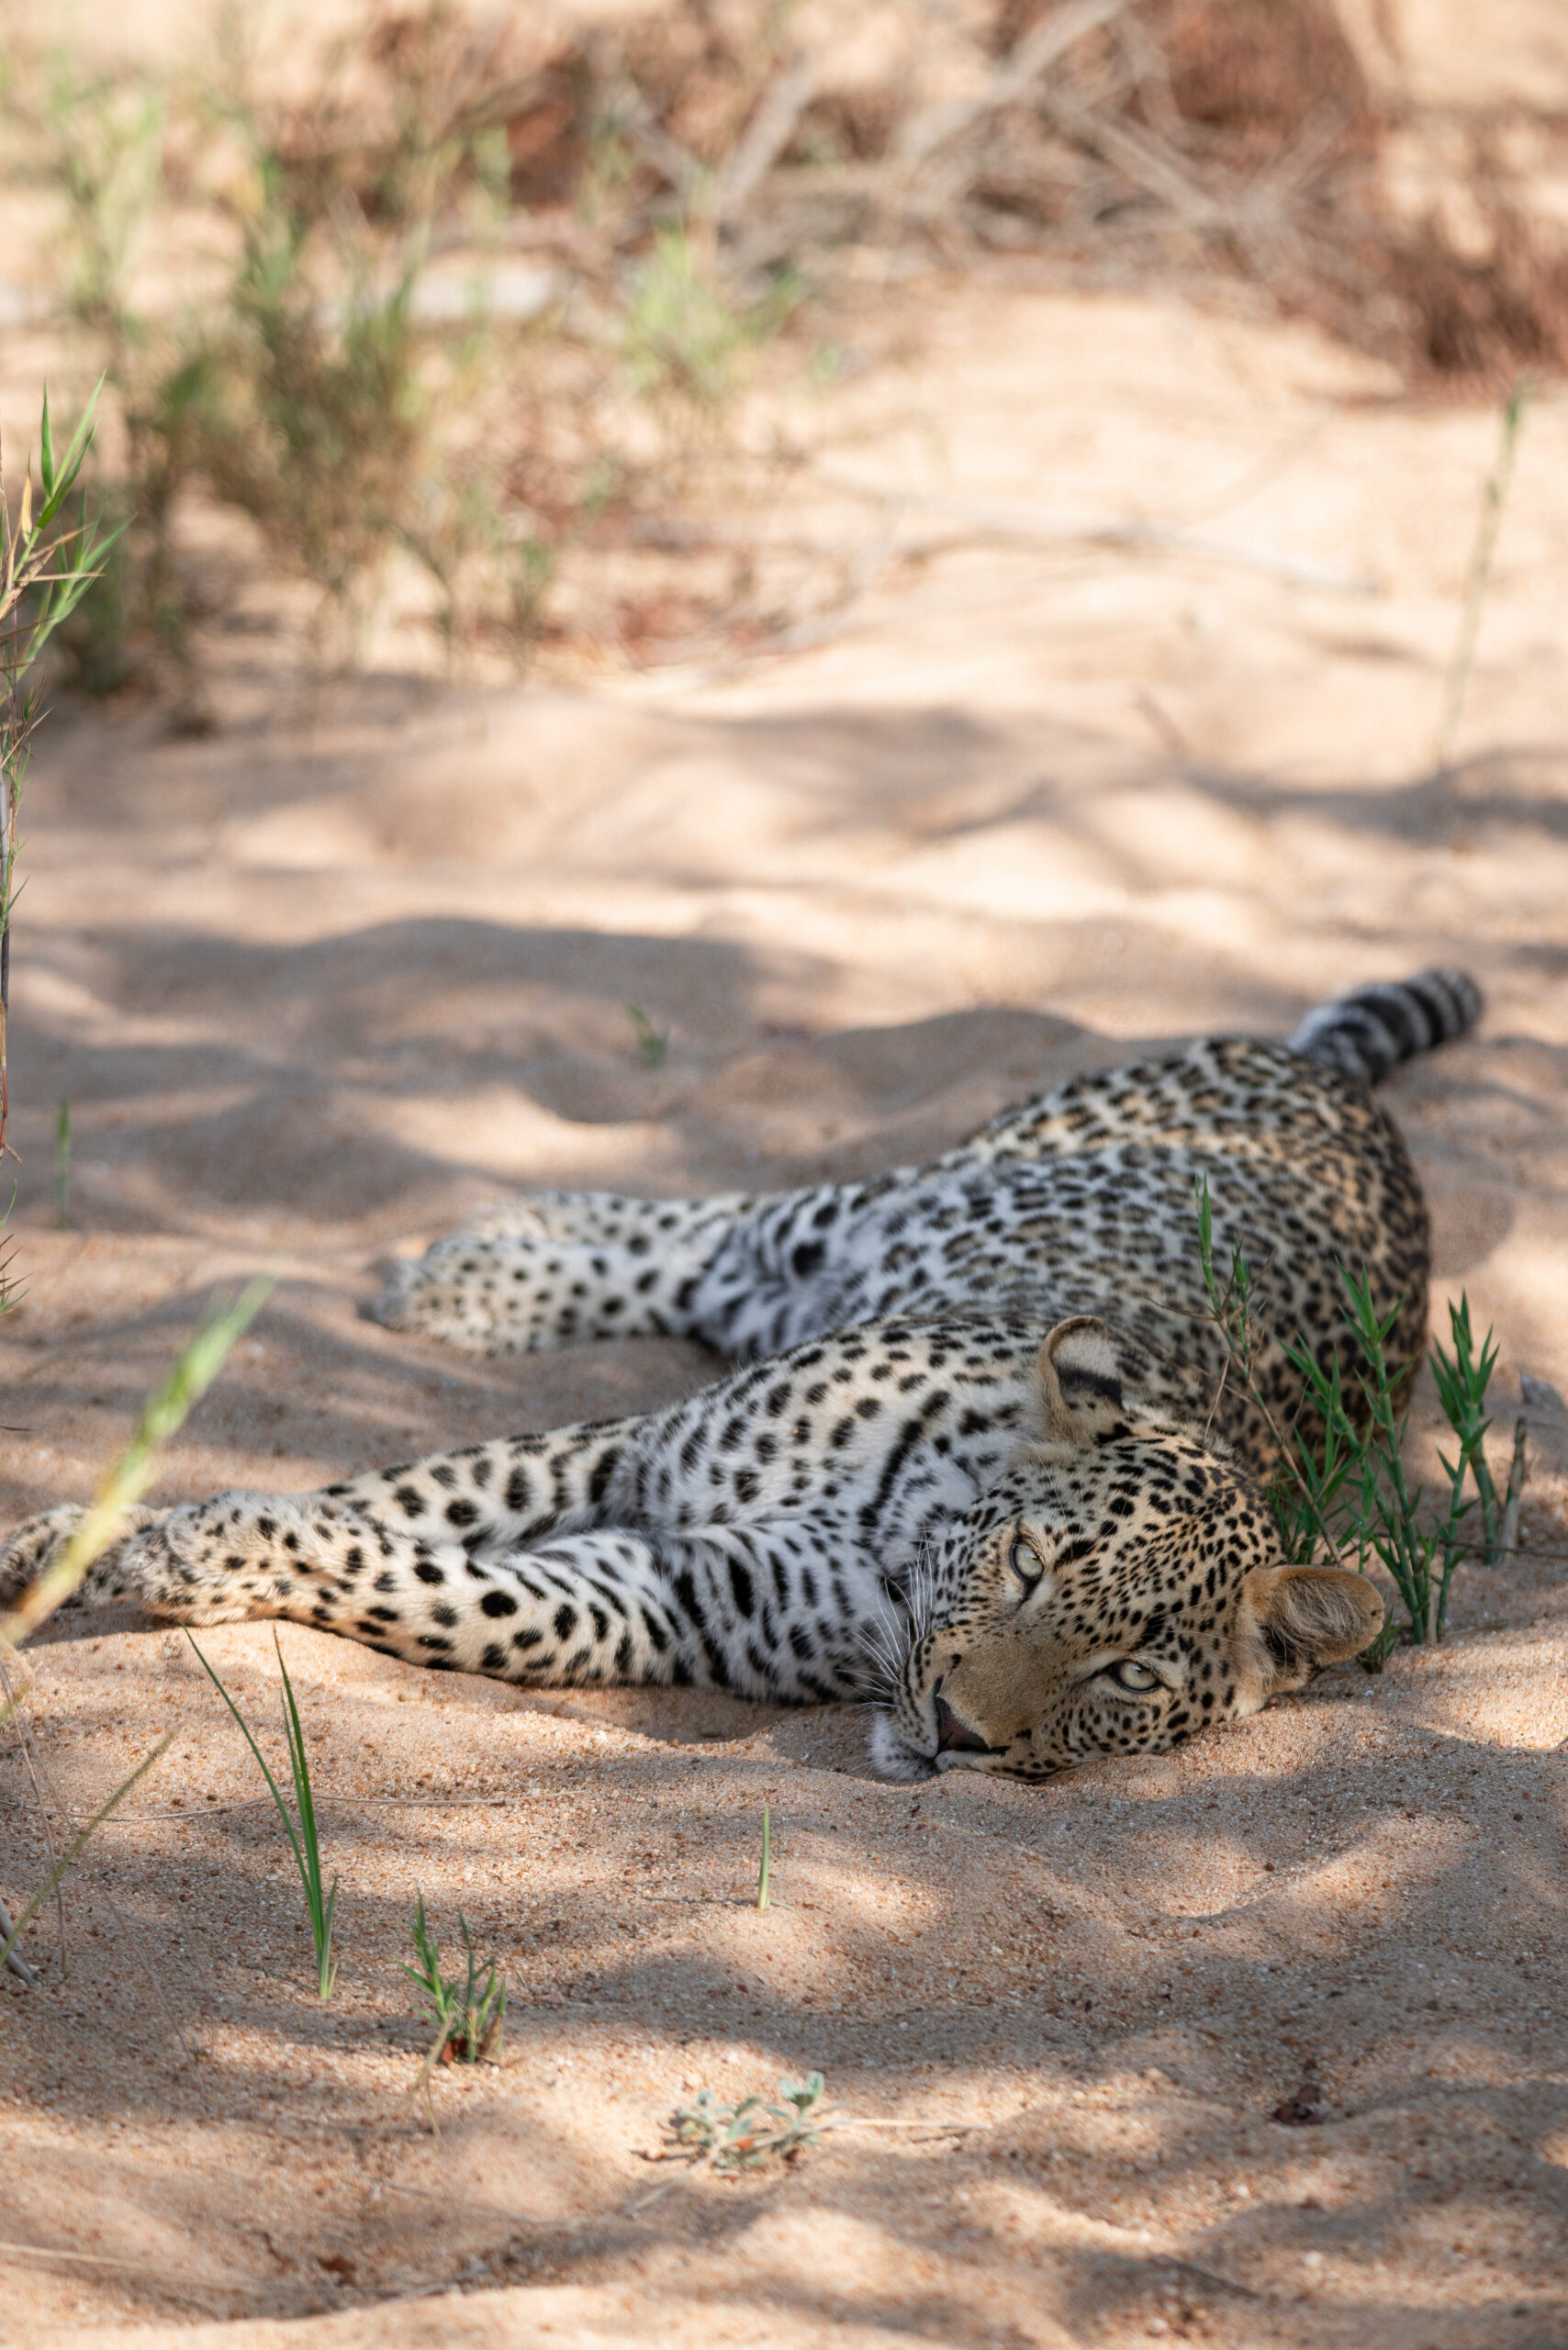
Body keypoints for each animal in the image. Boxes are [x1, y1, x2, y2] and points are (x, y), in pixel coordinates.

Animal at [0, 968, 1476, 1776]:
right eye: (1029, 1567)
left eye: (1128, 1683)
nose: (962, 1731)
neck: (907, 1526)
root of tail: (1342, 1090)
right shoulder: (631, 1451)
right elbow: (393, 1498)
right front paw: (74, 1543)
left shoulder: (664, 1592)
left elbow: (415, 1575)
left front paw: (182, 1555)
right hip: (910, 1191)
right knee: (715, 1219)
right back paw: (466, 1264)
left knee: (697, 1267)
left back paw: (468, 1278)